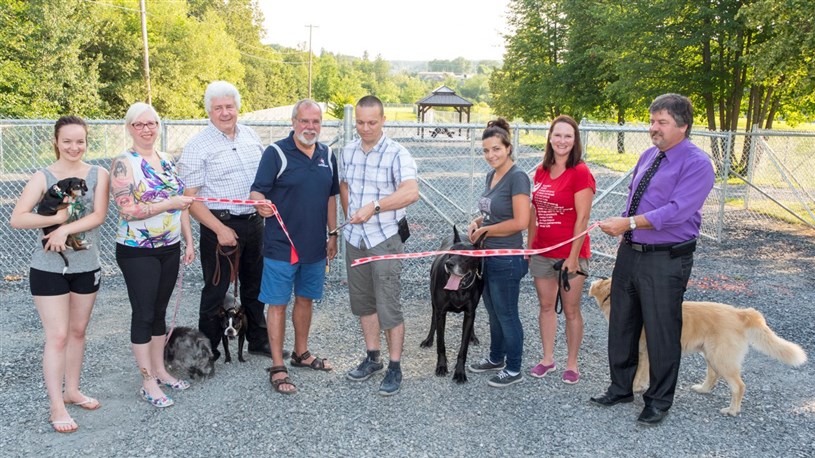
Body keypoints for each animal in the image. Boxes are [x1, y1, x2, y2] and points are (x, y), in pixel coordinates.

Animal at [420, 225, 484, 382]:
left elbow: (463, 347)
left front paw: (460, 372)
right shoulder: (441, 312)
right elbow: (440, 343)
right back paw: (428, 339)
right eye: (452, 251)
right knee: (433, 320)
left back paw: (473, 336)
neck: (459, 289)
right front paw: (441, 366)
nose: (449, 264)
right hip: (433, 303)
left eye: (466, 255)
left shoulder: (469, 312)